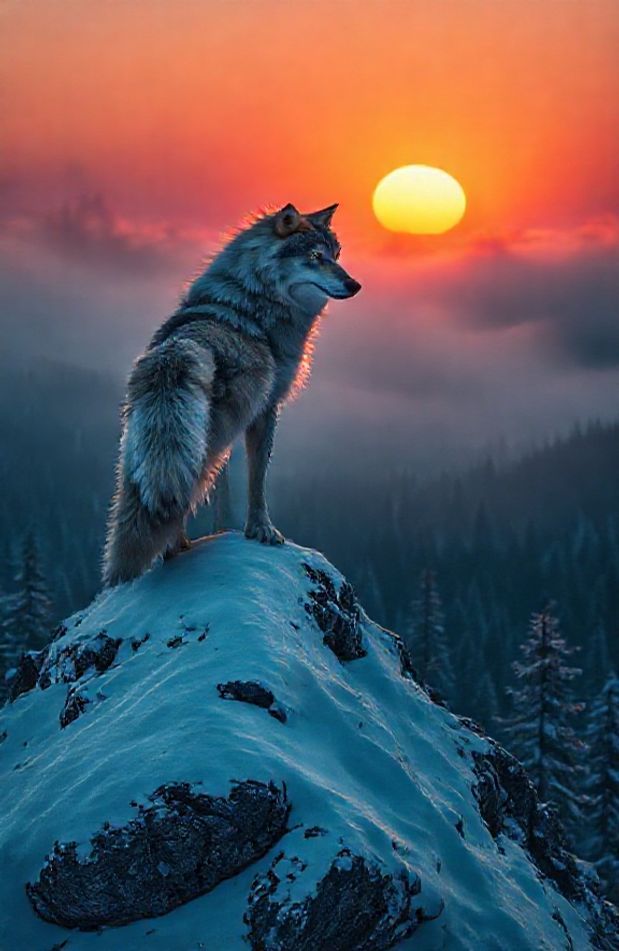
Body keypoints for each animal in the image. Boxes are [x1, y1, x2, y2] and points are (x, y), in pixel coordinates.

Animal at [102, 203, 361, 585]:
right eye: (315, 256)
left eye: (336, 255)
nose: (354, 284)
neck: (255, 299)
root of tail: (176, 352)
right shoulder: (266, 411)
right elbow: (257, 480)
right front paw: (262, 530)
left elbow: (227, 493)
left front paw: (226, 531)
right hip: (200, 448)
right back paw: (175, 552)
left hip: (146, 461)